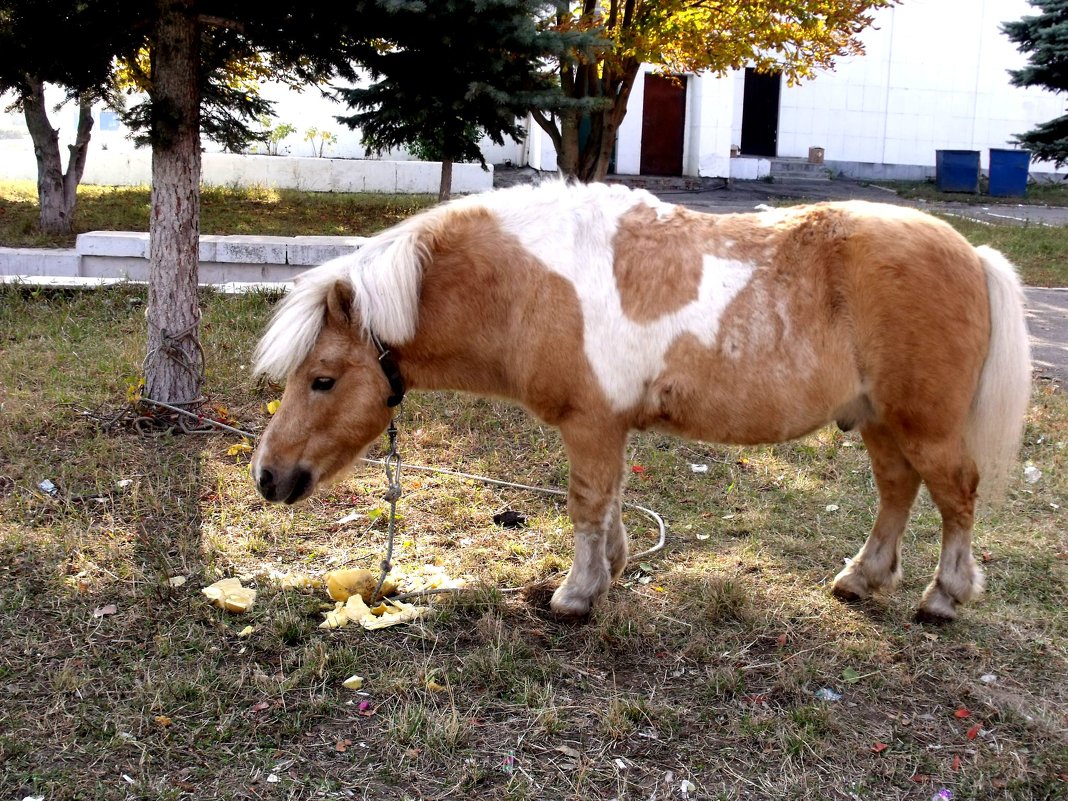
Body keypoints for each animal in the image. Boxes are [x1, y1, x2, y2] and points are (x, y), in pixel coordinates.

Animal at [252, 180, 1033, 619]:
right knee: (898, 491)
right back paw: (862, 579)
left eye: (322, 378)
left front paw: (574, 597)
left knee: (956, 495)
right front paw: (609, 574)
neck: (529, 281)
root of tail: (973, 253)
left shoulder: (590, 424)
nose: (268, 477)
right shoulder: (608, 425)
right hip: (878, 420)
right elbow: (611, 502)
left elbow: (586, 505)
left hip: (925, 425)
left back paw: (944, 597)